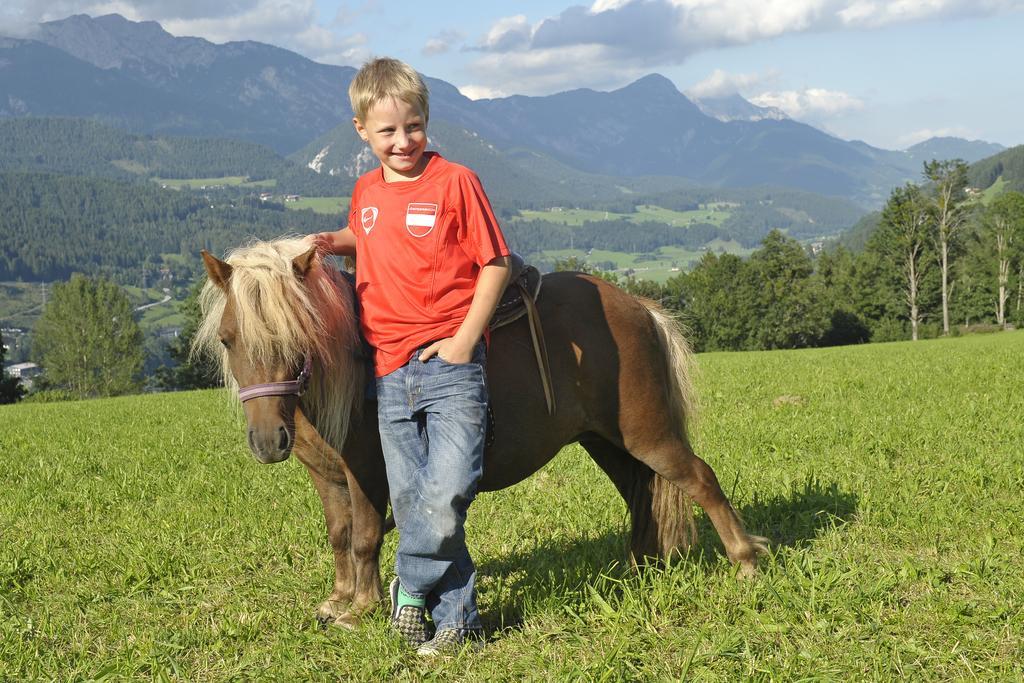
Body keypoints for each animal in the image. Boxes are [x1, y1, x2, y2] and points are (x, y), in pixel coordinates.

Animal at [193, 237, 770, 626]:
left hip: (647, 434)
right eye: (227, 339)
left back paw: (745, 562)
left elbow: (363, 537)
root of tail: (638, 306)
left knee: (699, 479)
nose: (268, 442)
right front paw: (336, 600)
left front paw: (360, 608)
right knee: (641, 493)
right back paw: (639, 570)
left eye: (294, 337)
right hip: (606, 440)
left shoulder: (368, 475)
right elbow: (338, 536)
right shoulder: (327, 475)